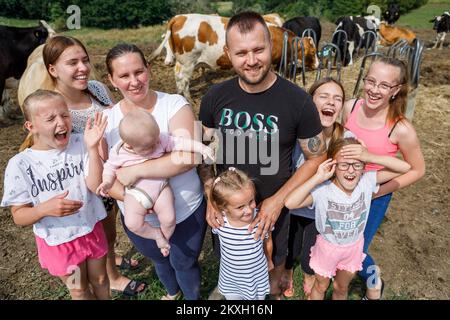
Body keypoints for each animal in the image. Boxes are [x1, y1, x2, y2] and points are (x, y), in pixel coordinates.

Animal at [149, 13, 318, 100]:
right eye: (312, 52)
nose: (318, 65)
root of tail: (179, 17)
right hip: (188, 62)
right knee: (183, 81)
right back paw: (189, 101)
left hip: (182, 63)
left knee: (178, 79)